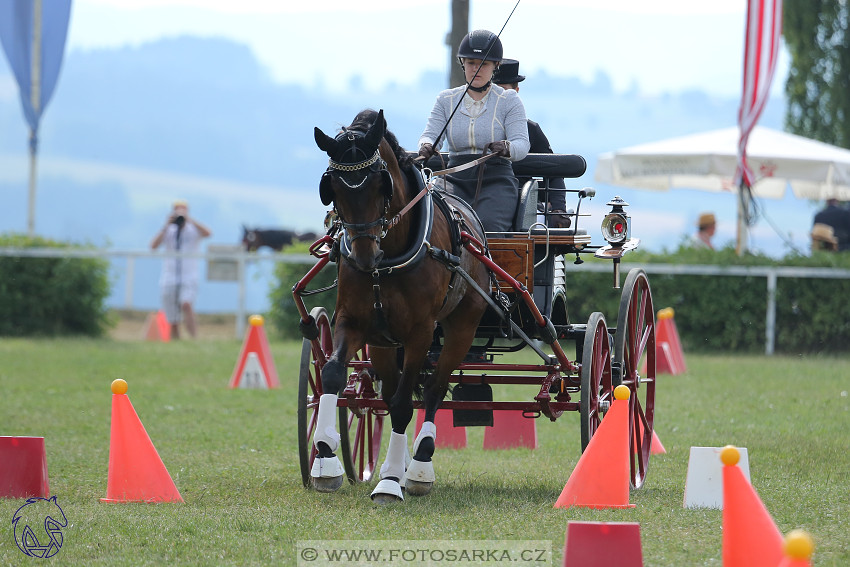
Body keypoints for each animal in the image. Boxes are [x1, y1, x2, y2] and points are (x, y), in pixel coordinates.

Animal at [312, 108, 486, 504]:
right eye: (332, 188)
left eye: (382, 184)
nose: (364, 254)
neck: (386, 261)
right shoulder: (353, 321)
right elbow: (333, 373)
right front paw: (325, 456)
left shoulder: (420, 332)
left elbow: (407, 404)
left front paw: (390, 481)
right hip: (382, 344)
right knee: (389, 394)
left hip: (461, 327)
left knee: (434, 387)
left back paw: (420, 463)